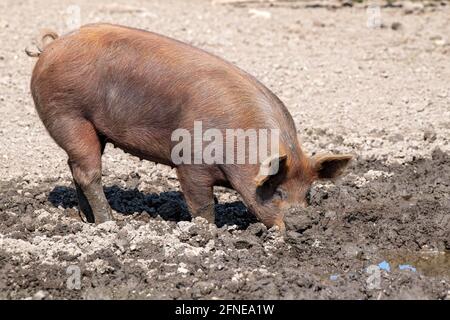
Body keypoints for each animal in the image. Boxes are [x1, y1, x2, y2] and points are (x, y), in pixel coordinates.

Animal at [26, 23, 354, 231]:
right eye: (278, 192)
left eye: (308, 194)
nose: (304, 225)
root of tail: (52, 46)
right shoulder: (191, 163)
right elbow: (202, 205)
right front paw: (209, 232)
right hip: (68, 114)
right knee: (88, 172)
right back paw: (108, 224)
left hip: (92, 128)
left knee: (75, 168)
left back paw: (87, 220)